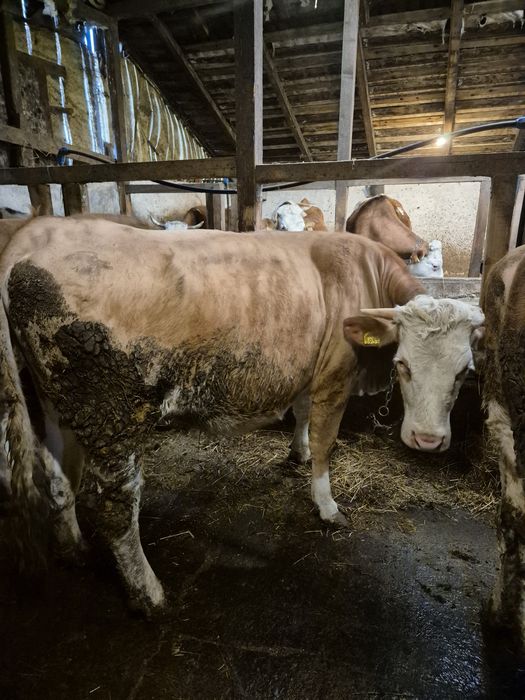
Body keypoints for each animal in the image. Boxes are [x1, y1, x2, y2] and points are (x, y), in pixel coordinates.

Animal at [0, 218, 483, 614]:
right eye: (403, 364)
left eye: (465, 371)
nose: (427, 440)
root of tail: (37, 233)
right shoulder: (335, 374)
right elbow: (326, 440)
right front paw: (327, 505)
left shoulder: (309, 369)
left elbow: (302, 414)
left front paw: (297, 453)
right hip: (113, 412)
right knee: (116, 504)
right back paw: (149, 594)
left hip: (56, 400)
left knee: (57, 475)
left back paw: (74, 549)